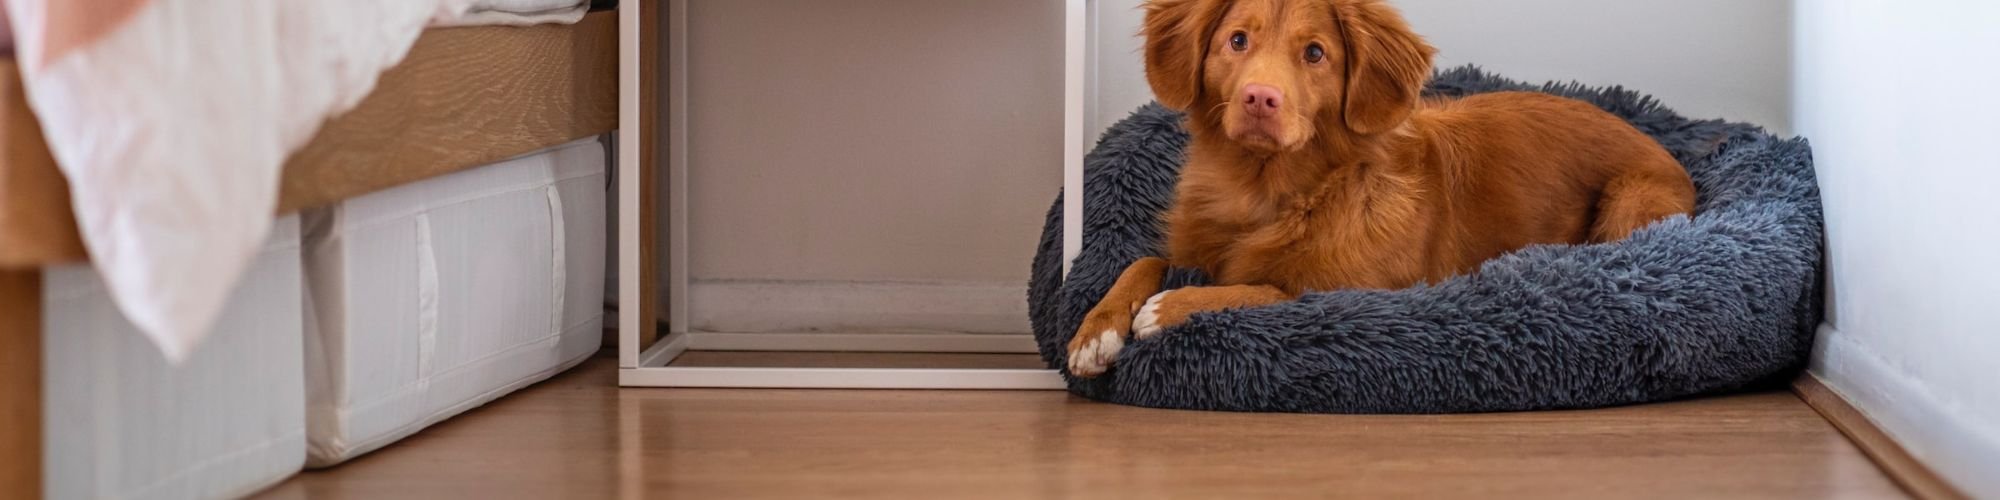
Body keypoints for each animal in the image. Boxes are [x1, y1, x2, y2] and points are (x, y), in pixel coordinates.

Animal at [1072, 0, 1696, 376]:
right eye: (1238, 41)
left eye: (1315, 53)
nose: (1259, 98)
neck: (1266, 190)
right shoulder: (1191, 245)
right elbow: (1144, 260)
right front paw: (1095, 331)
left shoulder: (1357, 291)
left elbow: (1268, 289)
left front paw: (1168, 308)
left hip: (1629, 200)